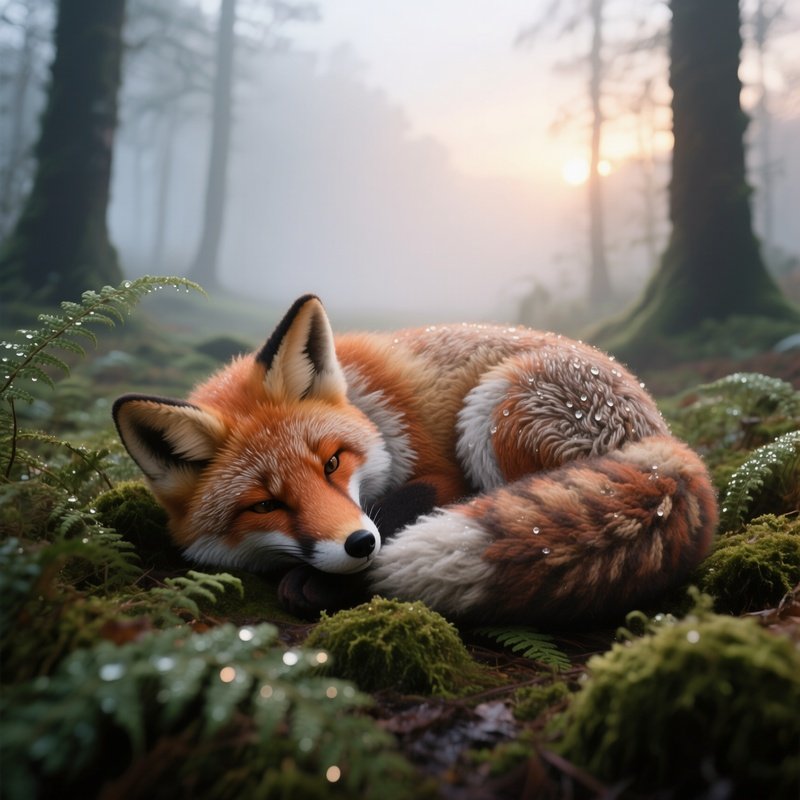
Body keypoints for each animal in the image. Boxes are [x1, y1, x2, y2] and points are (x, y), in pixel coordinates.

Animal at [113, 294, 717, 626]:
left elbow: (404, 505)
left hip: (493, 411)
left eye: (332, 464)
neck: (364, 405)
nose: (358, 545)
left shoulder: (437, 471)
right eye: (265, 505)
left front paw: (330, 580)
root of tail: (663, 439)